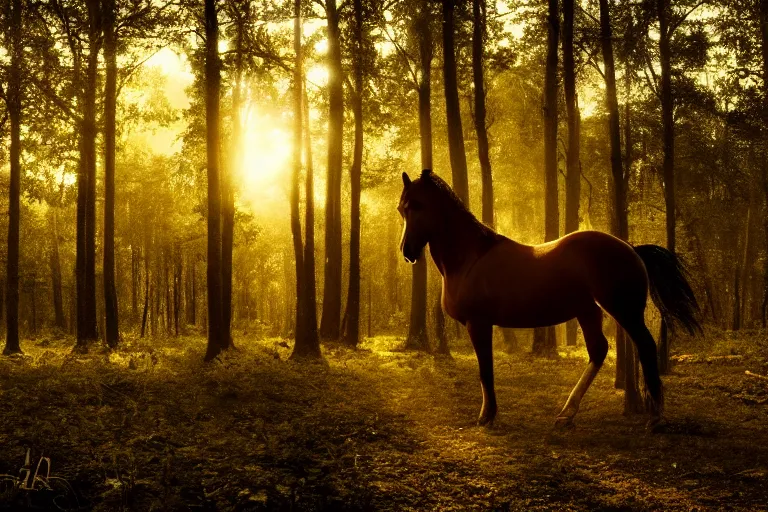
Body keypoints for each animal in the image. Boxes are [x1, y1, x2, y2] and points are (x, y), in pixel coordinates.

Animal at [402, 169, 704, 428]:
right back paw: (567, 413)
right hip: (588, 311)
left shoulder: (479, 324)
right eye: (402, 209)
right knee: (599, 350)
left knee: (645, 346)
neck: (470, 258)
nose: (407, 251)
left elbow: (485, 370)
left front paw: (486, 417)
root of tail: (630, 248)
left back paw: (656, 416)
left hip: (624, 311)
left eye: (419, 206)